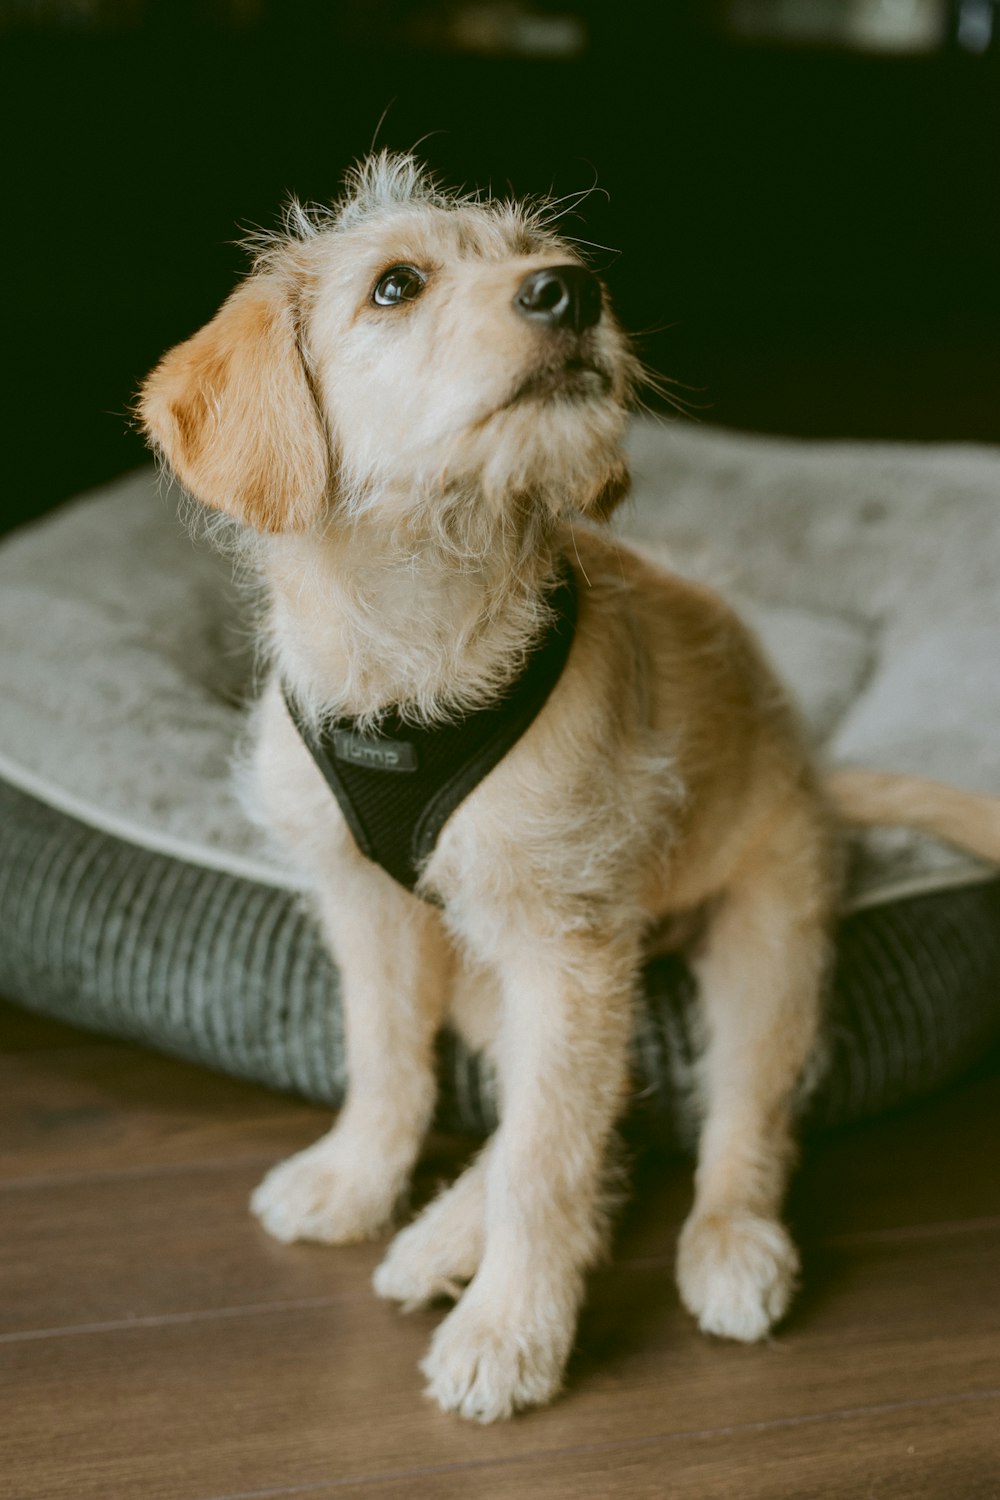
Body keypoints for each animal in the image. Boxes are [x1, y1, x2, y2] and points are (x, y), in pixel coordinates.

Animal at [140, 155, 1000, 1428]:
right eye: (393, 285)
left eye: (535, 256)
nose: (572, 289)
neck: (418, 635)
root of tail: (817, 777)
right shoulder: (372, 911)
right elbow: (386, 1060)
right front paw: (357, 1182)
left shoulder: (565, 944)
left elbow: (548, 1159)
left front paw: (511, 1333)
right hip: (490, 978)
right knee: (595, 1115)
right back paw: (434, 1237)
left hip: (761, 955)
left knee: (718, 1126)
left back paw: (719, 1251)